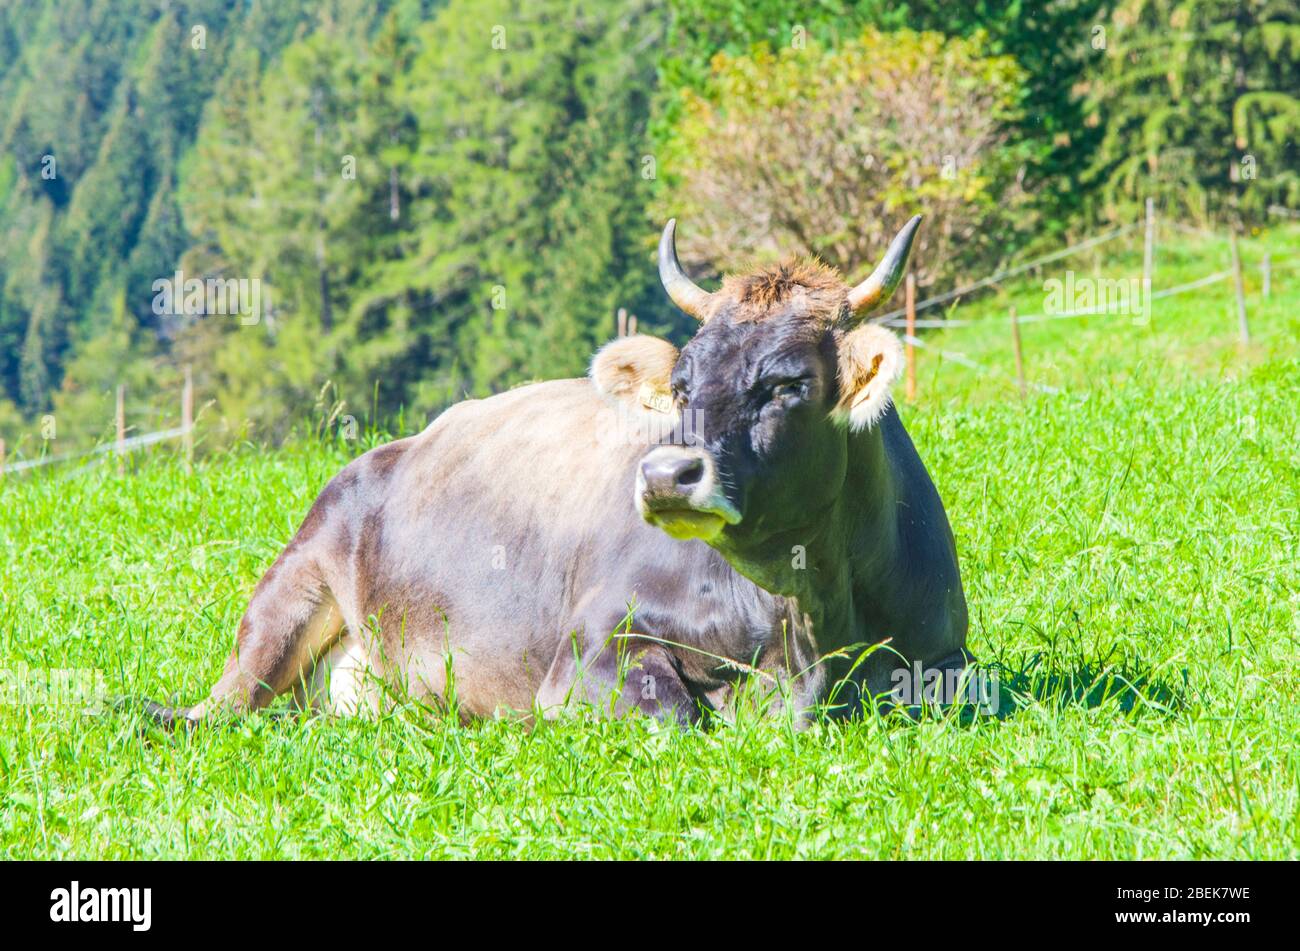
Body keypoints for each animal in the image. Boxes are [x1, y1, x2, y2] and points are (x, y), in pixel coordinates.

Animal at [153, 216, 967, 728]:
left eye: (788, 383)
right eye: (682, 384)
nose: (666, 473)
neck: (807, 620)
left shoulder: (948, 658)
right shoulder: (591, 644)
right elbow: (674, 714)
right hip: (292, 588)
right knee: (218, 707)